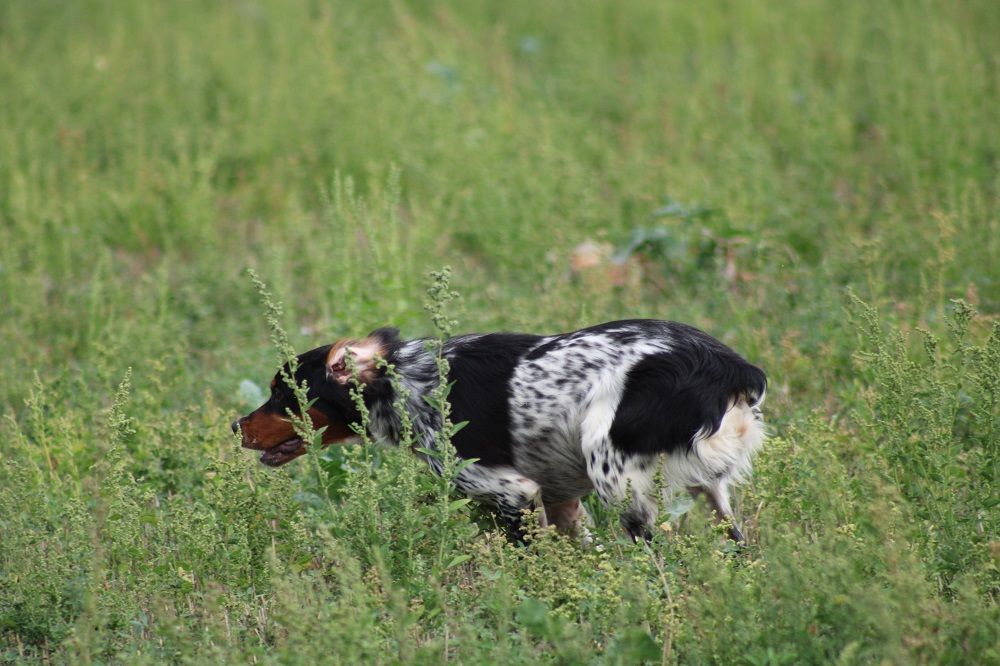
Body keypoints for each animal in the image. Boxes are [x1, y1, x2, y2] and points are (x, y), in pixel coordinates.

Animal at [234, 320, 764, 544]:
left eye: (282, 395)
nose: (234, 425)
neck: (407, 381)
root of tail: (729, 367)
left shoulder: (516, 492)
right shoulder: (561, 502)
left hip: (611, 469)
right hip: (709, 491)